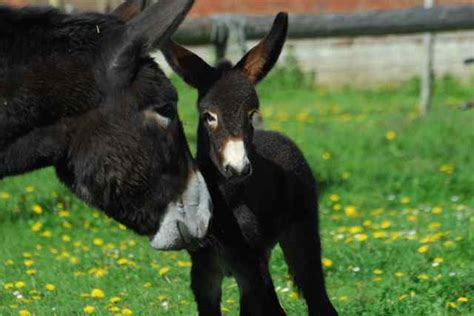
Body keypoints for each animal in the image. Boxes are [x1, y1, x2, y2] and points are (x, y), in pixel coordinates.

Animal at [165, 12, 338, 316]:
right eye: (208, 115)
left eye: (251, 112)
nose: (237, 169)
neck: (225, 203)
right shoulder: (204, 270)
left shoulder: (249, 270)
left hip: (300, 232)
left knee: (316, 295)